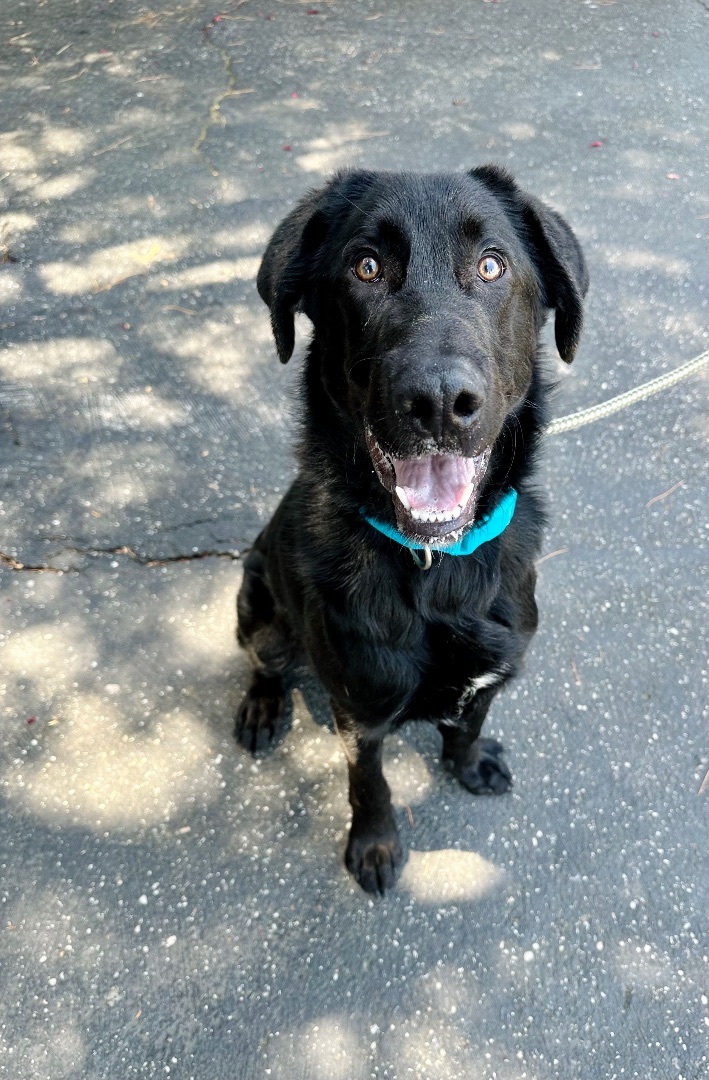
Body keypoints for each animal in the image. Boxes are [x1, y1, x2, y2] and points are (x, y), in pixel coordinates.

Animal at [234, 166, 587, 894]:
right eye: (365, 266)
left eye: (491, 265)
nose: (438, 402)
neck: (437, 566)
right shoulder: (359, 711)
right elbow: (369, 784)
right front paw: (374, 846)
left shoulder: (491, 671)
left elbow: (467, 723)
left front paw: (469, 762)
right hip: (260, 608)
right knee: (264, 662)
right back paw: (260, 706)